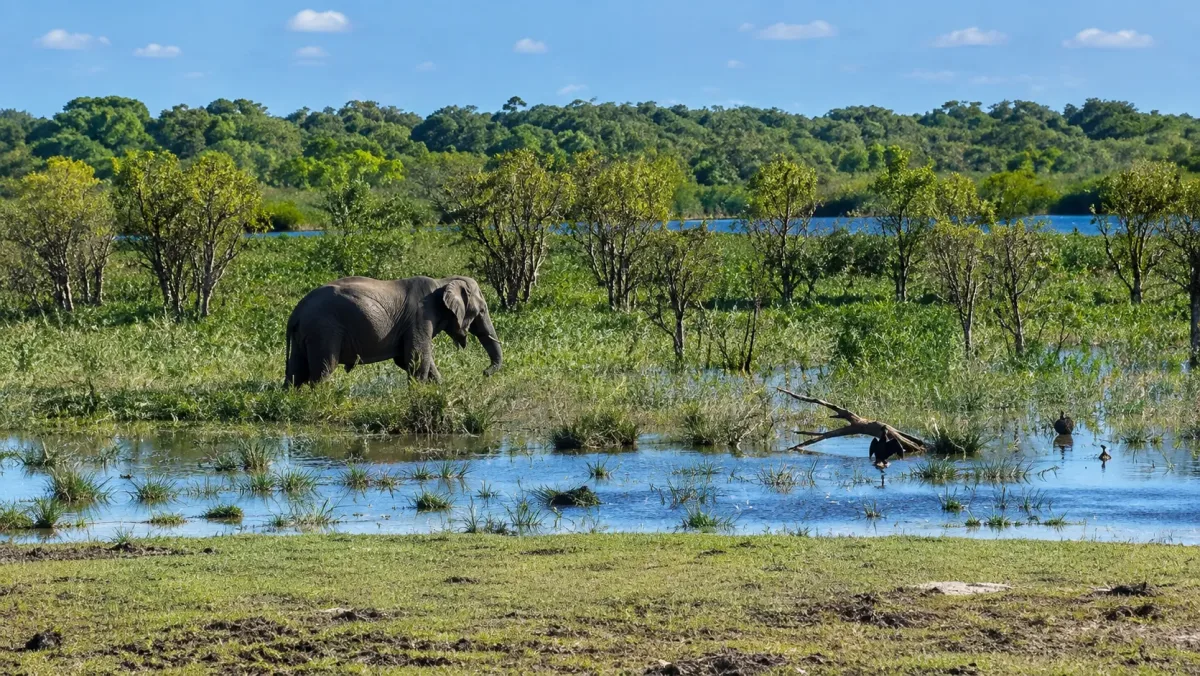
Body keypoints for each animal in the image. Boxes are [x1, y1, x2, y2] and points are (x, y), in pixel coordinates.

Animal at [285, 275, 502, 387]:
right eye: (482, 310)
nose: (485, 373)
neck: (444, 281)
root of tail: (296, 312)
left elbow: (408, 358)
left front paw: (439, 389)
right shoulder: (420, 316)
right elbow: (416, 356)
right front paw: (419, 393)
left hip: (305, 333)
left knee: (296, 370)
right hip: (323, 330)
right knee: (323, 369)